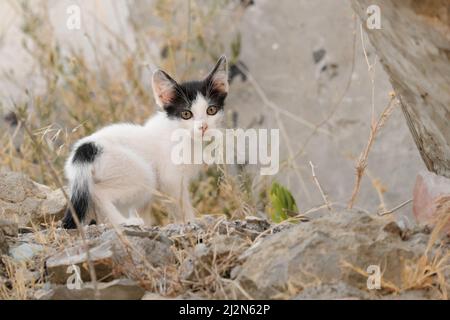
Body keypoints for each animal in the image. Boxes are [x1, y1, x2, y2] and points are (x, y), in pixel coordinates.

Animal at [62, 56, 229, 229]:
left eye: (211, 110)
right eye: (186, 114)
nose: (203, 127)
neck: (181, 135)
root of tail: (86, 148)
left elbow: (143, 210)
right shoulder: (171, 179)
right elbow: (181, 205)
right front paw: (190, 222)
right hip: (143, 174)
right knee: (99, 193)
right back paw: (123, 222)